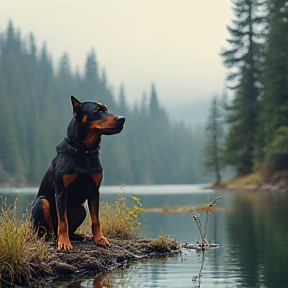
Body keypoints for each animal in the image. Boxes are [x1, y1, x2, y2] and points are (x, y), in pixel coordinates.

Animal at [30, 95, 125, 251]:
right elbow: (63, 222)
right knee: (46, 232)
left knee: (71, 227)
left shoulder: (94, 191)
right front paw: (64, 243)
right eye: (97, 110)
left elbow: (96, 220)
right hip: (41, 202)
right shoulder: (61, 191)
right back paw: (54, 239)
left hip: (81, 209)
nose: (122, 119)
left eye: (106, 109)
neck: (84, 151)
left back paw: (79, 235)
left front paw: (99, 239)